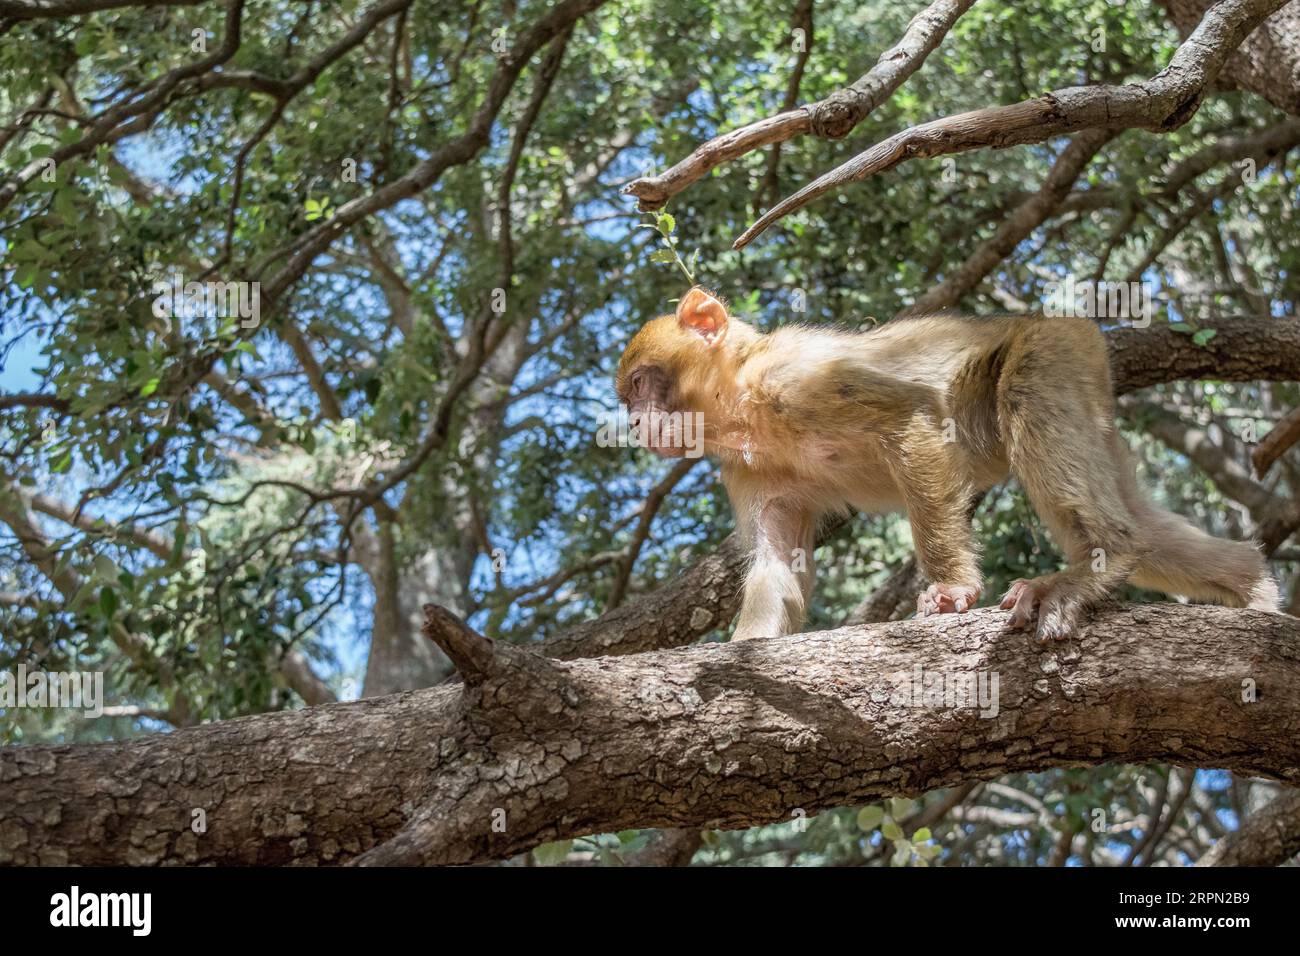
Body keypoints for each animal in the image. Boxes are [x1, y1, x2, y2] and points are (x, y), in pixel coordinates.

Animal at [615, 287, 1280, 644]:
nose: (637, 423)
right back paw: (1248, 584)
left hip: (1055, 347)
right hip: (1091, 392)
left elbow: (909, 419)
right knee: (1143, 522)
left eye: (644, 384)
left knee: (1025, 394)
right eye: (630, 396)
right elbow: (779, 559)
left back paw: (1100, 559)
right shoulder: (744, 468)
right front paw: (745, 648)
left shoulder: (798, 379)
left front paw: (953, 589)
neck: (742, 397)